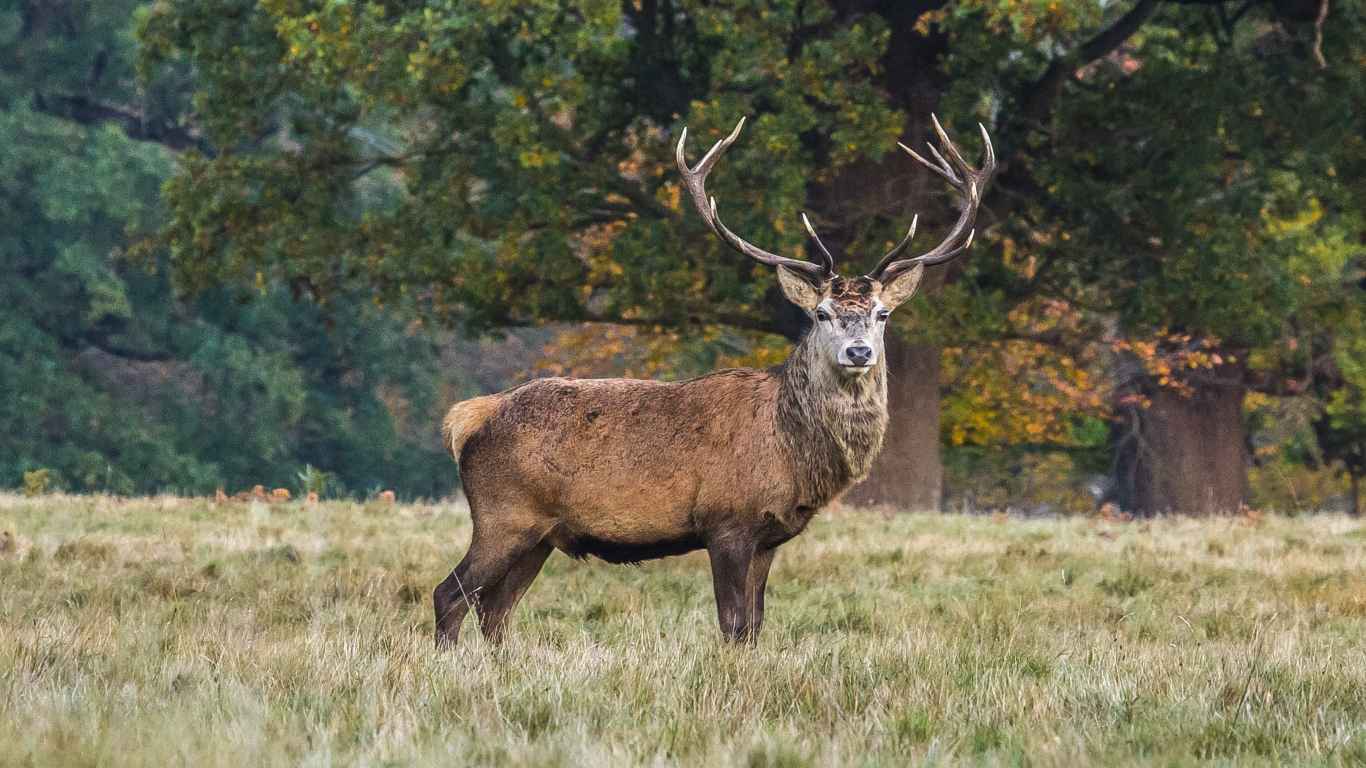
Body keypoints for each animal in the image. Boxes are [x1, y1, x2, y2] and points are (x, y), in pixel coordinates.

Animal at [435, 114, 994, 646]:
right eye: (822, 314)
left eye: (882, 314)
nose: (859, 352)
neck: (790, 450)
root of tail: (469, 418)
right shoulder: (725, 522)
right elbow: (731, 623)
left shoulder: (769, 536)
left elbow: (755, 626)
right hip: (504, 515)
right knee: (451, 594)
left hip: (542, 534)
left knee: (494, 609)